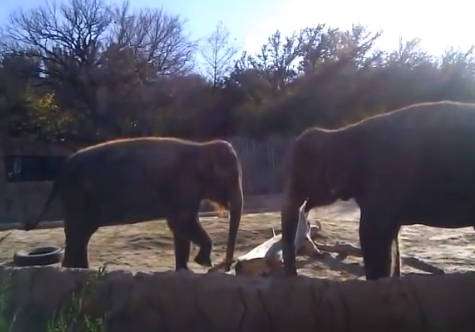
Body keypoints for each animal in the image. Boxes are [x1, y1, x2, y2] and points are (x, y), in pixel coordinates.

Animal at [23, 136, 244, 272]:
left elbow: (180, 227)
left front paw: (185, 270)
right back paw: (76, 270)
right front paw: (203, 262)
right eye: (232, 179)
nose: (227, 266)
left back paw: (79, 269)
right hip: (77, 195)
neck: (201, 147)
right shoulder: (181, 185)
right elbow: (182, 222)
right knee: (78, 232)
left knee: (80, 234)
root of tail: (60, 173)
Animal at [280, 100, 475, 280]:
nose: (294, 275)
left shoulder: (382, 181)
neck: (341, 133)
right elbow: (392, 240)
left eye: (298, 177)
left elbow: (372, 235)